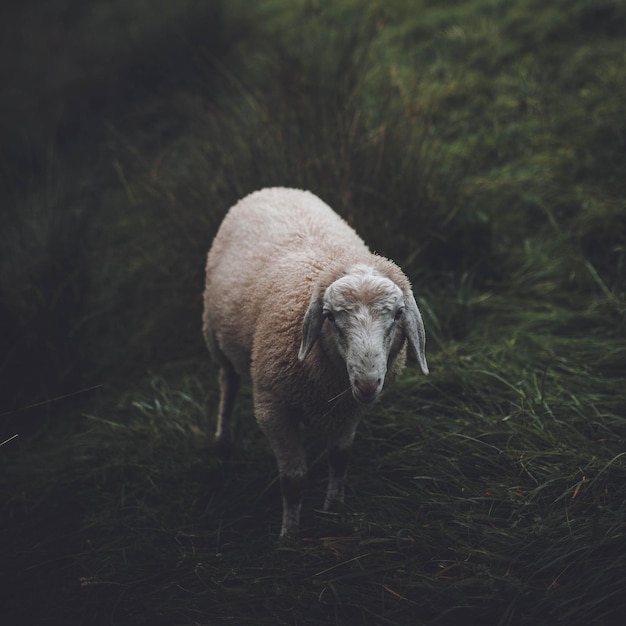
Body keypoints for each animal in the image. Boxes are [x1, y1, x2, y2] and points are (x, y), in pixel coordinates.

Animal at [202, 185, 426, 536]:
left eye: (398, 314)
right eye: (330, 316)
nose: (367, 385)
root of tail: (274, 188)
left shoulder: (348, 410)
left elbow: (339, 459)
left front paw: (333, 510)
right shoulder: (273, 410)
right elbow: (293, 482)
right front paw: (290, 535)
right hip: (214, 334)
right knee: (228, 381)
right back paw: (223, 440)